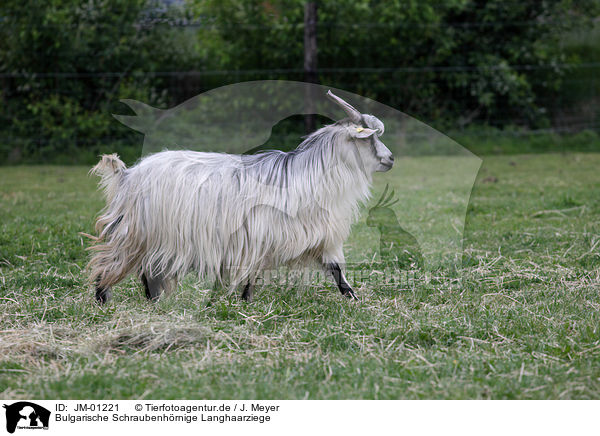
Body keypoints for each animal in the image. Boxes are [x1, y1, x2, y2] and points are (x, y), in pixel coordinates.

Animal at [88, 90, 394, 304]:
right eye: (369, 138)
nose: (390, 159)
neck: (309, 177)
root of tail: (128, 174)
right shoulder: (260, 236)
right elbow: (252, 275)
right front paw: (245, 303)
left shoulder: (317, 237)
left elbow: (336, 270)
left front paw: (354, 299)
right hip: (136, 233)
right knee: (110, 263)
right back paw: (103, 301)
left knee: (148, 270)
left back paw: (153, 302)